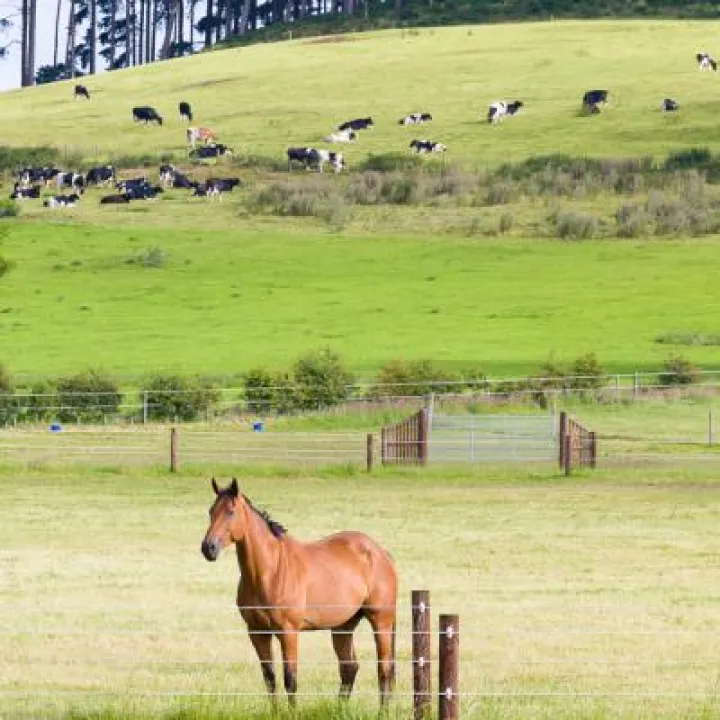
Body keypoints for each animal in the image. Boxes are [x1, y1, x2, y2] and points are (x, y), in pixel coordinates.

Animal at [201, 477, 398, 708]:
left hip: (381, 622)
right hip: (343, 626)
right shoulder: (257, 632)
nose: (208, 548)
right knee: (349, 667)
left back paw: (382, 711)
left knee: (384, 670)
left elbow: (290, 679)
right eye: (211, 511)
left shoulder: (288, 632)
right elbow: (270, 678)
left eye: (231, 512)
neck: (270, 570)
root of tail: (380, 552)